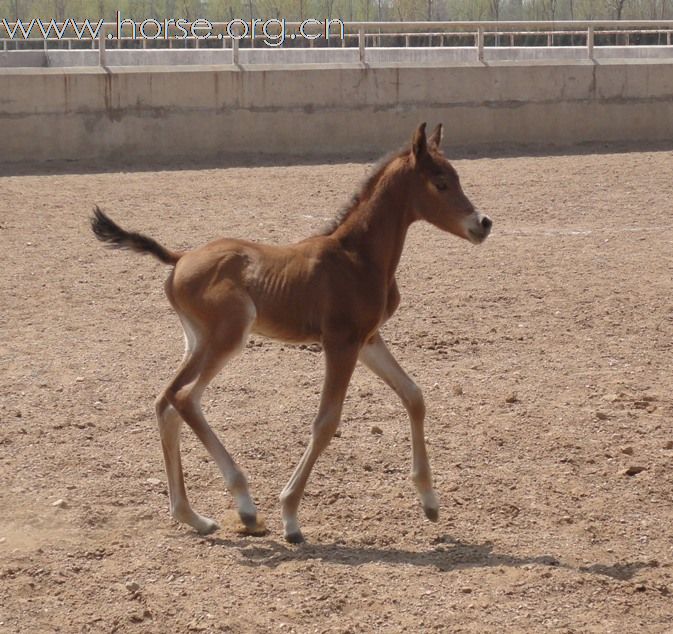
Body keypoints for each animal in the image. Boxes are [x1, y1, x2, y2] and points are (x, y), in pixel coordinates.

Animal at [90, 123, 488, 544]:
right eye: (441, 182)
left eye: (457, 177)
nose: (483, 223)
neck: (357, 256)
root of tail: (179, 257)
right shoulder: (340, 342)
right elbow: (326, 422)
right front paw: (290, 516)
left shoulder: (367, 340)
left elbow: (413, 396)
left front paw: (430, 502)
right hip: (228, 336)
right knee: (183, 397)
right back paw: (246, 507)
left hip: (197, 341)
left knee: (166, 401)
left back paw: (193, 516)